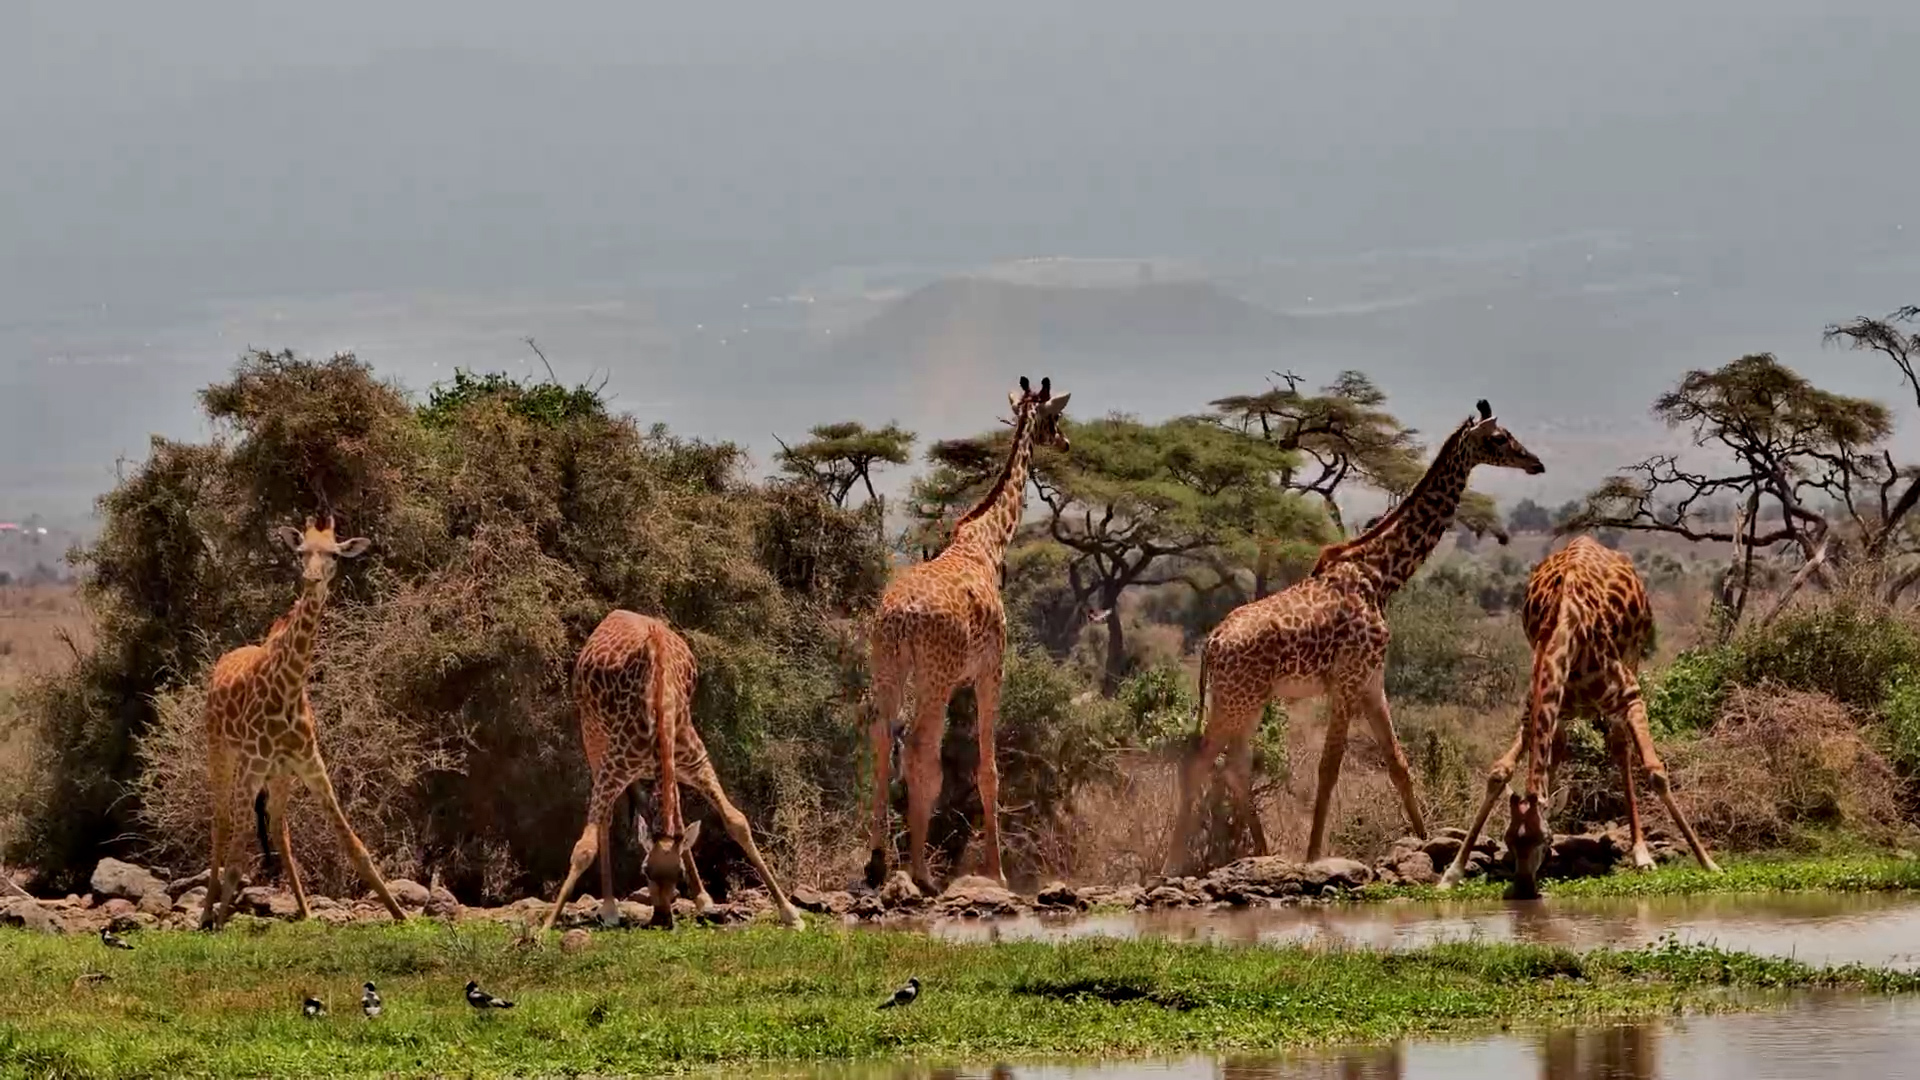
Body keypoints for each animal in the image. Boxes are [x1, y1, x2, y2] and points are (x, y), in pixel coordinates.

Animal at [198, 516, 408, 929]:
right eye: (300, 552)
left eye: (334, 555)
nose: (312, 578)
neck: (290, 686)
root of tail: (223, 661)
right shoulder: (252, 764)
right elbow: (238, 853)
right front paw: (220, 921)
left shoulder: (310, 763)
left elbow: (353, 843)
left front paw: (401, 913)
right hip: (222, 752)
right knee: (222, 822)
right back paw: (207, 912)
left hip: (280, 773)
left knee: (278, 825)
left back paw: (304, 909)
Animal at [544, 610, 804, 931]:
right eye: (644, 872)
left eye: (678, 874)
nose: (662, 919)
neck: (660, 702)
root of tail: (615, 614)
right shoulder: (614, 766)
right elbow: (584, 847)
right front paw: (544, 927)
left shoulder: (695, 761)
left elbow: (737, 822)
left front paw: (790, 912)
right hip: (593, 735)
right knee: (607, 818)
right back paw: (609, 907)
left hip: (666, 769)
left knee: (668, 812)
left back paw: (703, 898)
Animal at [864, 376, 1071, 895]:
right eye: (1056, 417)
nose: (1065, 442)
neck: (988, 540)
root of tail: (900, 617)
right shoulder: (989, 669)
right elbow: (987, 768)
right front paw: (997, 872)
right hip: (934, 676)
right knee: (918, 745)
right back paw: (920, 872)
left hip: (888, 666)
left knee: (882, 736)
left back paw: (877, 863)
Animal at [1164, 399, 1545, 876]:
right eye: (1498, 439)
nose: (1535, 463)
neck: (1381, 573)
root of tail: (1212, 643)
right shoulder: (1346, 681)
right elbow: (1330, 767)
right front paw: (1314, 855)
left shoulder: (1371, 680)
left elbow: (1398, 762)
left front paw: (1426, 842)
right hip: (1238, 698)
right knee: (1198, 761)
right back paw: (1173, 864)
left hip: (1245, 698)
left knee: (1233, 764)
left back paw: (1264, 853)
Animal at [1438, 535, 1722, 898]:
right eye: (1508, 841)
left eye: (1541, 840)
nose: (1523, 890)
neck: (1565, 626)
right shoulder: (1533, 709)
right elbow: (1499, 773)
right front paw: (1451, 873)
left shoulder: (1629, 694)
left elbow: (1655, 772)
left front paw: (1708, 862)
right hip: (1562, 710)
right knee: (1560, 746)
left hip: (1632, 659)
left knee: (1620, 748)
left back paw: (1641, 853)